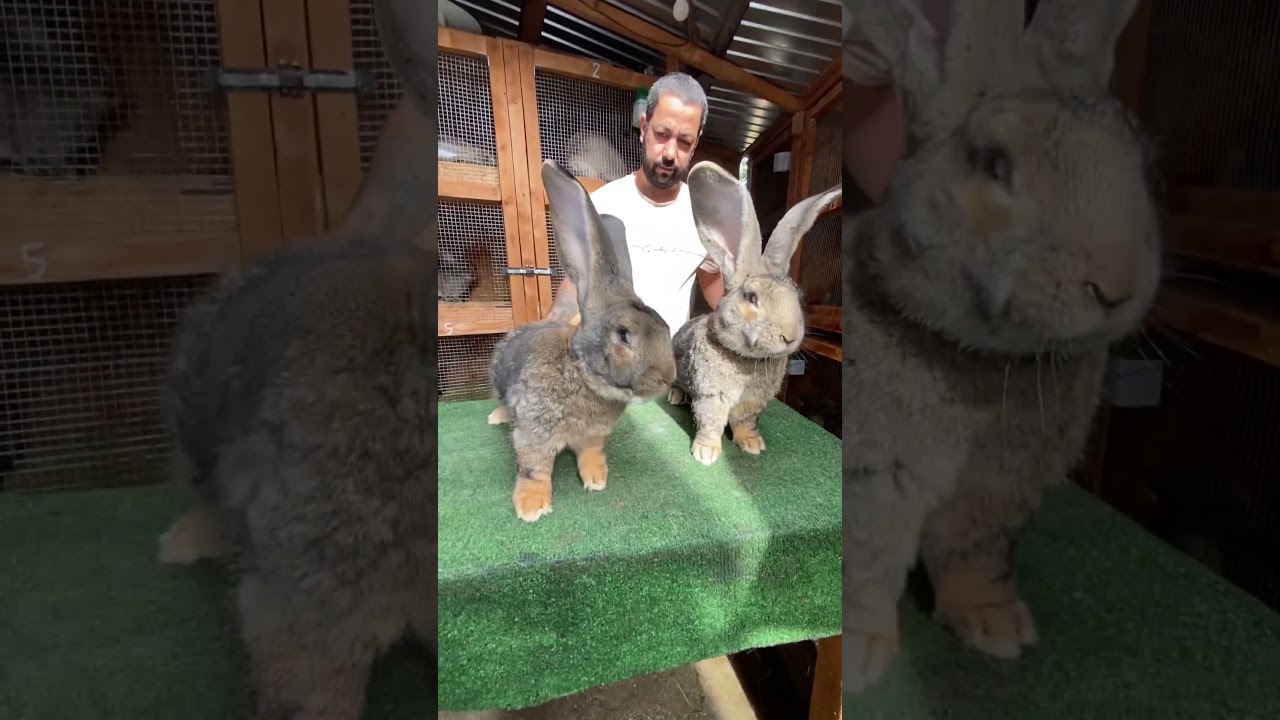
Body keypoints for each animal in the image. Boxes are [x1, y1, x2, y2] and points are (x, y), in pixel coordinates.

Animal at [487, 159, 677, 523]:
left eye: (664, 326)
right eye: (624, 334)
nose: (668, 377)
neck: (580, 374)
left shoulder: (593, 436)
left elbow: (590, 455)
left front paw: (596, 478)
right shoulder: (534, 432)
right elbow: (534, 468)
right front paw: (531, 506)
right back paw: (497, 417)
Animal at [666, 161, 840, 465]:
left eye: (798, 295)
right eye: (751, 298)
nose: (790, 337)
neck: (747, 360)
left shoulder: (752, 403)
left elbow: (745, 422)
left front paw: (751, 444)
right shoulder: (712, 397)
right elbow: (711, 423)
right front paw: (706, 453)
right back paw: (676, 397)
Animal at [842, 0, 1162, 694]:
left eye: (1142, 157)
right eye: (993, 164)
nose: (1117, 287)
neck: (985, 360)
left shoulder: (999, 492)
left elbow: (975, 555)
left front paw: (996, 626)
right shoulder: (874, 480)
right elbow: (869, 561)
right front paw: (859, 653)